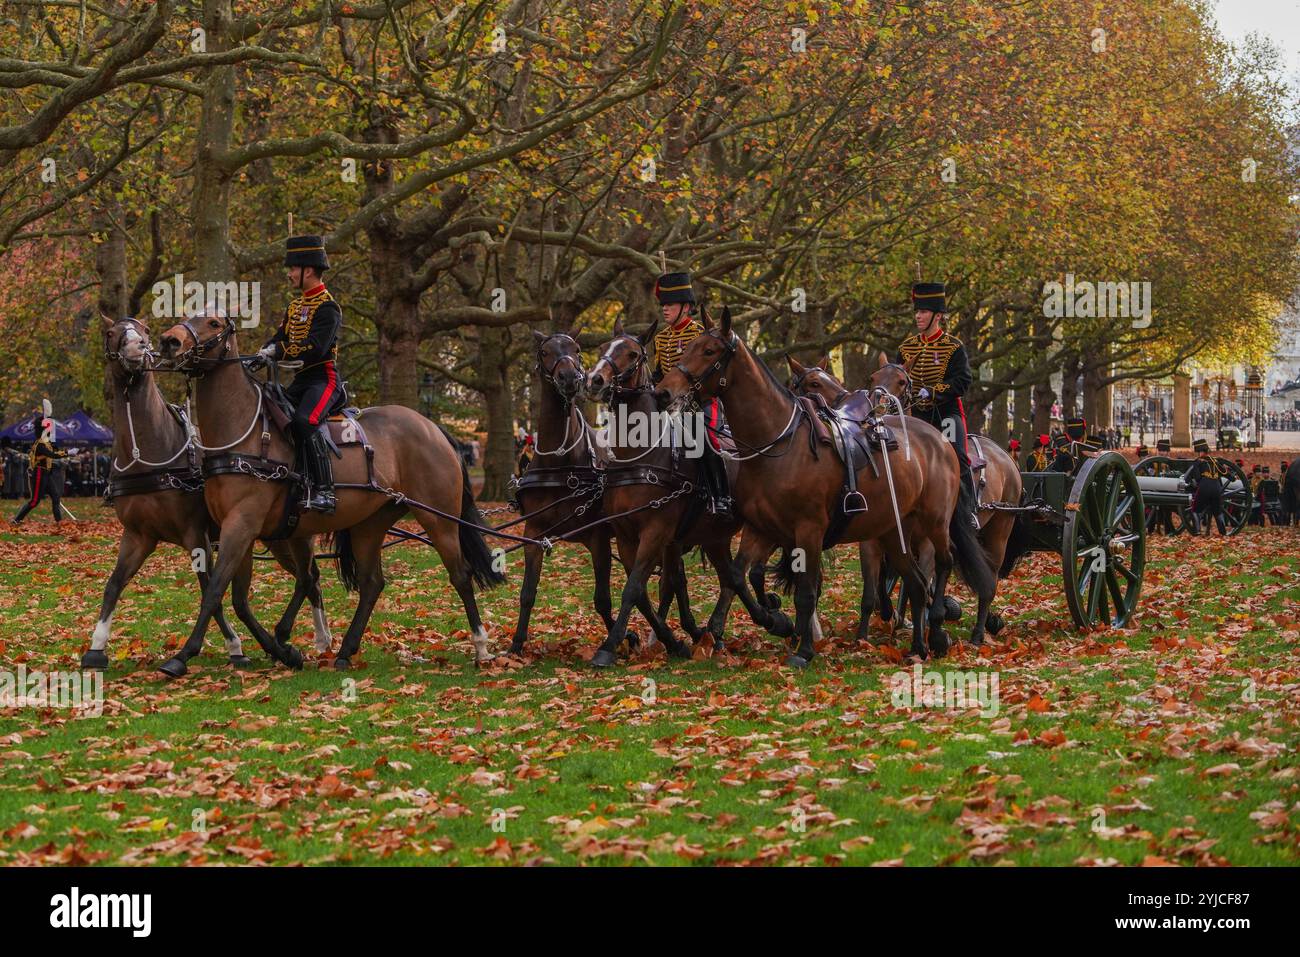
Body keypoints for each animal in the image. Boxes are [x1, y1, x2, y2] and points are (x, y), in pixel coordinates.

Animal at [89, 317, 327, 670]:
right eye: (111, 333)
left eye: (144, 332)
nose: (136, 349)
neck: (148, 454)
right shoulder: (138, 536)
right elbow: (114, 584)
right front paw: (96, 646)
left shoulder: (195, 535)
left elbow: (209, 591)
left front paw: (234, 646)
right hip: (275, 537)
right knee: (311, 576)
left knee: (310, 576)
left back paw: (316, 639)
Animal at [149, 310, 499, 676]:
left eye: (214, 323)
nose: (169, 341)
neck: (243, 435)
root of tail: (432, 428)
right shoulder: (244, 530)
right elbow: (239, 598)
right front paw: (282, 649)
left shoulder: (242, 525)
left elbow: (216, 589)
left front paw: (183, 654)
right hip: (368, 524)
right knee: (370, 582)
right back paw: (344, 650)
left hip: (438, 518)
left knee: (460, 575)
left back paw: (481, 646)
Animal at [655, 308, 998, 665]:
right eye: (689, 347)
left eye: (709, 351)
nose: (663, 392)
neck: (778, 443)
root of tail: (940, 442)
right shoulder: (761, 529)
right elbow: (739, 575)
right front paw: (773, 620)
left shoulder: (809, 530)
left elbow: (806, 592)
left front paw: (803, 649)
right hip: (894, 532)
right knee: (916, 582)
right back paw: (918, 648)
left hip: (935, 523)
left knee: (943, 563)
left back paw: (938, 630)